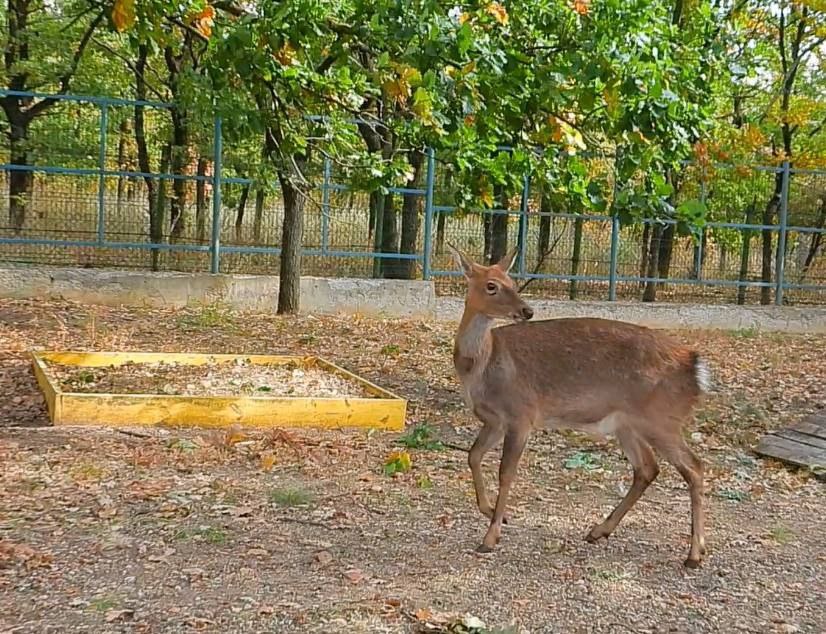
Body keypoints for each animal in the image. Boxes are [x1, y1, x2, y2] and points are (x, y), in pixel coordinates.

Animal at [444, 242, 708, 568]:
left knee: (694, 467)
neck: (482, 364)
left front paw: (490, 537)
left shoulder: (522, 414)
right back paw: (599, 530)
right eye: (492, 285)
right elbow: (473, 456)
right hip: (628, 424)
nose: (527, 310)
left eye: (512, 282)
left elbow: (506, 473)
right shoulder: (494, 420)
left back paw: (694, 553)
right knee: (648, 468)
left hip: (662, 419)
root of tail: (695, 369)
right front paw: (493, 512)